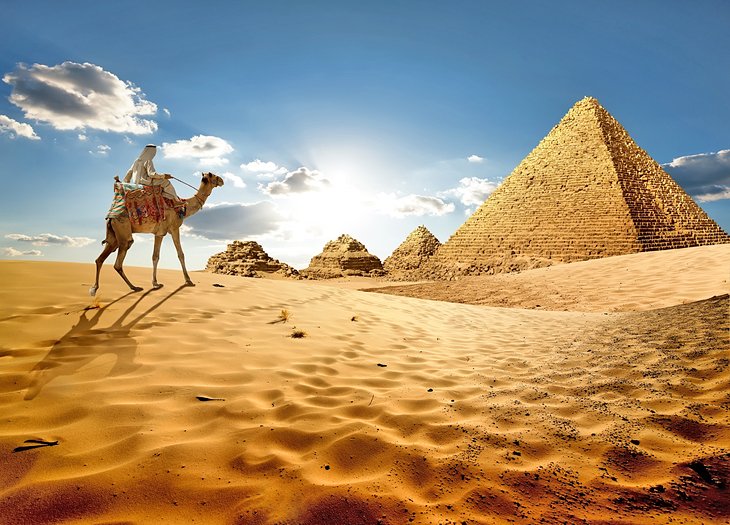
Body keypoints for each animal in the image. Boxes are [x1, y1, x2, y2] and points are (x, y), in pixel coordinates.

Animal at [90, 172, 223, 294]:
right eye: (213, 175)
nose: (222, 180)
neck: (183, 207)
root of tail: (110, 216)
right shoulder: (173, 229)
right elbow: (179, 254)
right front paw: (188, 280)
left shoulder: (159, 233)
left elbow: (155, 256)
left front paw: (155, 283)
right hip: (123, 232)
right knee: (118, 261)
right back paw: (134, 287)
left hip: (113, 236)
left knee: (100, 259)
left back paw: (95, 288)